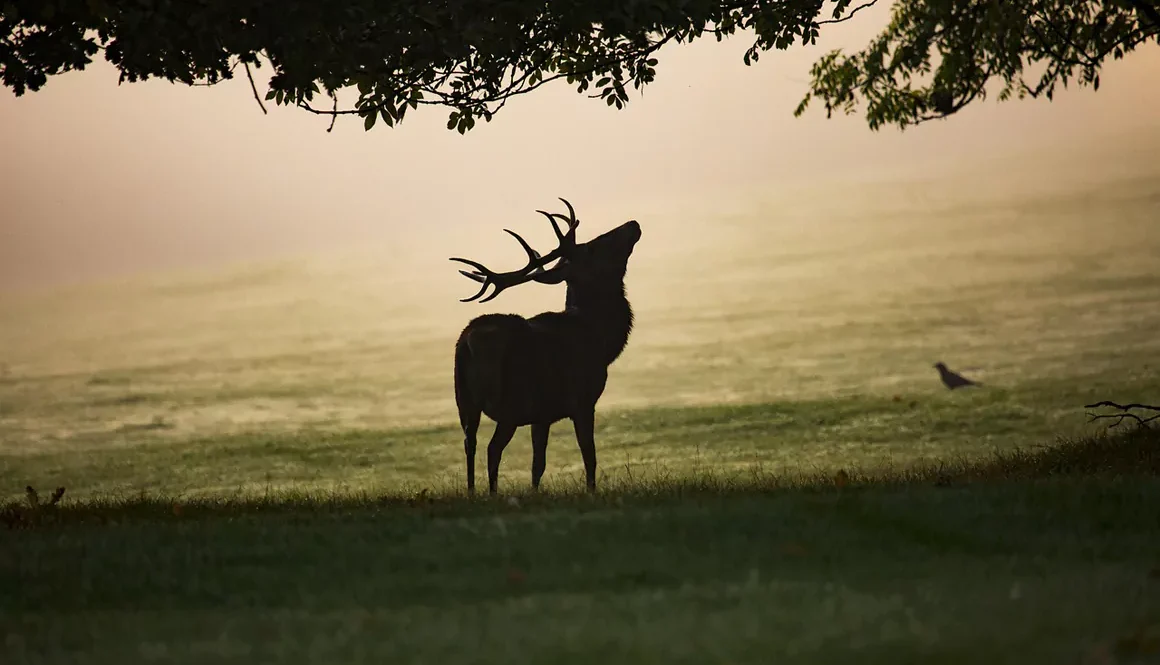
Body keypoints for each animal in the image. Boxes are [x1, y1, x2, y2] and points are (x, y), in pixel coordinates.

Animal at [450, 198, 641, 495]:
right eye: (593, 246)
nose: (633, 224)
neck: (601, 341)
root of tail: (468, 343)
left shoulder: (542, 414)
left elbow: (537, 464)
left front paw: (535, 492)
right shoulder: (582, 399)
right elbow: (589, 455)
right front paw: (591, 492)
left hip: (464, 399)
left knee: (470, 443)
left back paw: (472, 493)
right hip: (510, 400)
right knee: (492, 449)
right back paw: (492, 493)